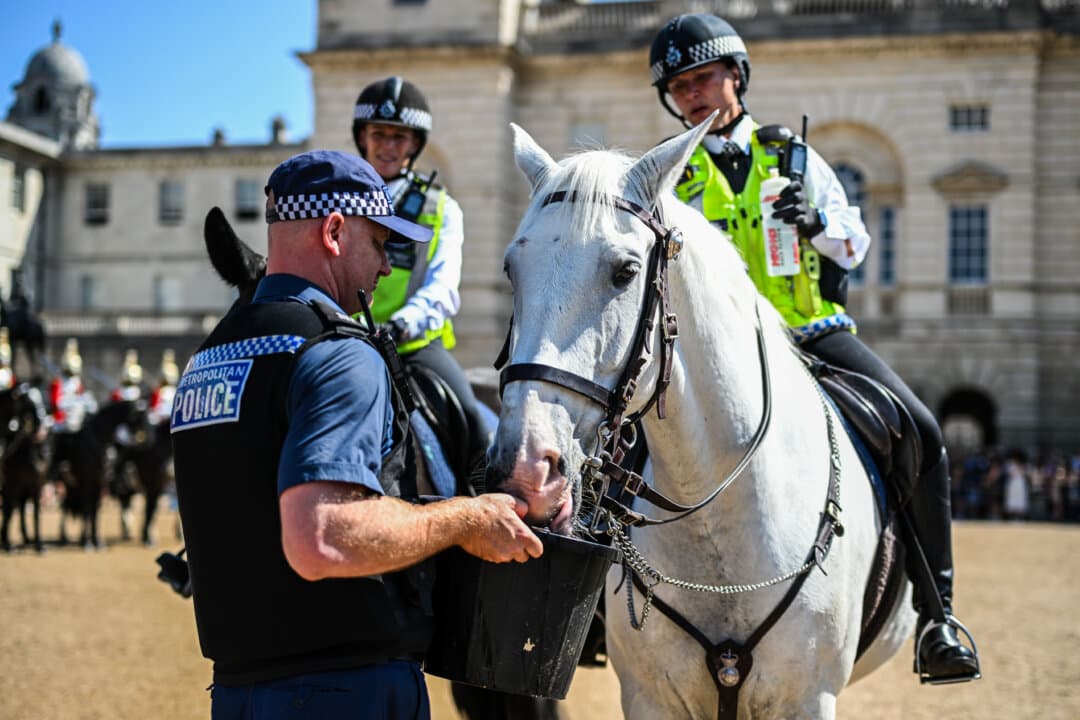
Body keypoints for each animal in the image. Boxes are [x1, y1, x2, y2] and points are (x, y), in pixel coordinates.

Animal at [0, 384, 49, 553]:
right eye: (27, 401)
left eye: (43, 397)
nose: (41, 432)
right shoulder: (11, 484)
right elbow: (8, 510)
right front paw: (8, 545)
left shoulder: (36, 484)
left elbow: (36, 513)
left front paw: (39, 544)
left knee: (21, 506)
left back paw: (27, 538)